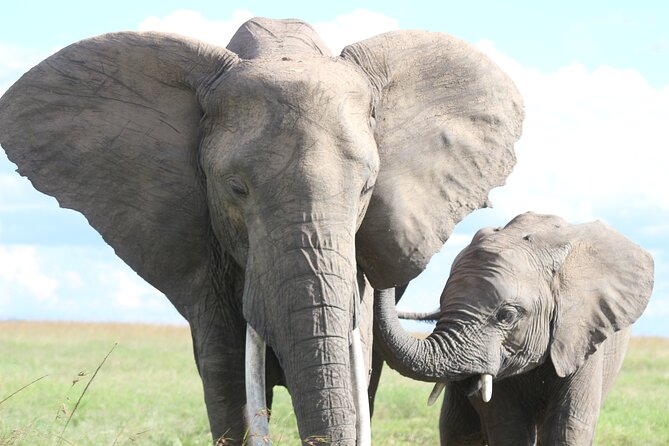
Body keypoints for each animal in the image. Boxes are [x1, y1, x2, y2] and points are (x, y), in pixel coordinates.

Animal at [375, 212, 654, 445]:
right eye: (442, 306)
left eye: (507, 316)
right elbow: (507, 427)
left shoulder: (581, 331)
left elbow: (568, 427)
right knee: (458, 431)